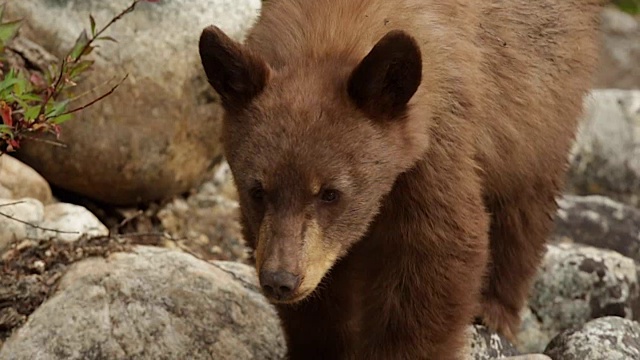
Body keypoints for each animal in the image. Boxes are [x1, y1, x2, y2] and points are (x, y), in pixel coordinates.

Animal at [199, 0, 604, 358]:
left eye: (331, 192)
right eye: (257, 190)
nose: (280, 280)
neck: (329, 33)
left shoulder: (435, 143)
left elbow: (439, 247)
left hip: (541, 101)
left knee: (524, 200)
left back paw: (493, 308)